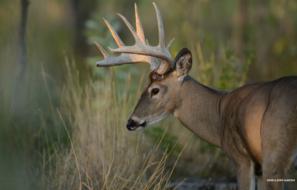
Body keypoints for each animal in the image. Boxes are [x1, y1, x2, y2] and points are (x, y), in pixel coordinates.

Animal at [95, 2, 296, 190]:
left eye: (155, 90)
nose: (131, 122)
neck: (219, 114)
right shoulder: (257, 167)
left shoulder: (242, 159)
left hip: (275, 149)